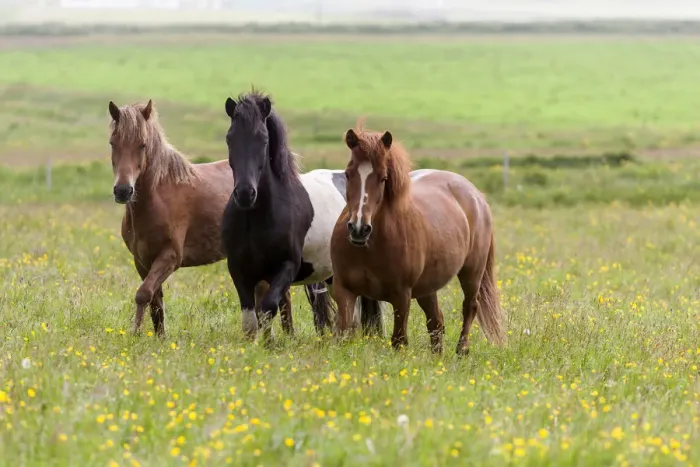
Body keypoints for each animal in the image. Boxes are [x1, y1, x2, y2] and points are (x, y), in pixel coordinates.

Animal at [107, 99, 331, 336]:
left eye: (142, 145)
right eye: (113, 143)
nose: (123, 190)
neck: (159, 198)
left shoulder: (169, 257)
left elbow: (144, 294)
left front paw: (135, 333)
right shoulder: (142, 262)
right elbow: (155, 303)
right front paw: (156, 338)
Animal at [220, 91, 385, 342]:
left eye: (264, 140)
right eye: (230, 139)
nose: (246, 194)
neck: (257, 217)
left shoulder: (287, 266)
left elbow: (268, 307)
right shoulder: (239, 269)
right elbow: (250, 319)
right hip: (332, 275)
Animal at [329, 124, 506, 355]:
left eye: (383, 178)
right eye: (348, 174)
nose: (359, 229)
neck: (369, 248)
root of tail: (476, 195)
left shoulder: (401, 296)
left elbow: (399, 340)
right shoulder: (344, 291)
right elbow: (343, 334)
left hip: (472, 272)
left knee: (469, 307)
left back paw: (461, 351)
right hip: (427, 288)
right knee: (436, 322)